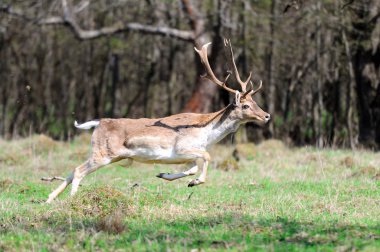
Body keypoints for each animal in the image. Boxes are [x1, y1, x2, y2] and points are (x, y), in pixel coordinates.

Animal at [46, 39, 270, 203]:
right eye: (245, 105)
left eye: (255, 101)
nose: (266, 115)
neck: (206, 133)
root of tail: (98, 123)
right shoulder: (183, 147)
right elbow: (206, 157)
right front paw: (197, 181)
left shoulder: (185, 155)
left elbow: (192, 167)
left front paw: (166, 175)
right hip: (104, 153)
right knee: (78, 171)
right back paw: (72, 199)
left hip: (107, 154)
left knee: (72, 170)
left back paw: (49, 199)